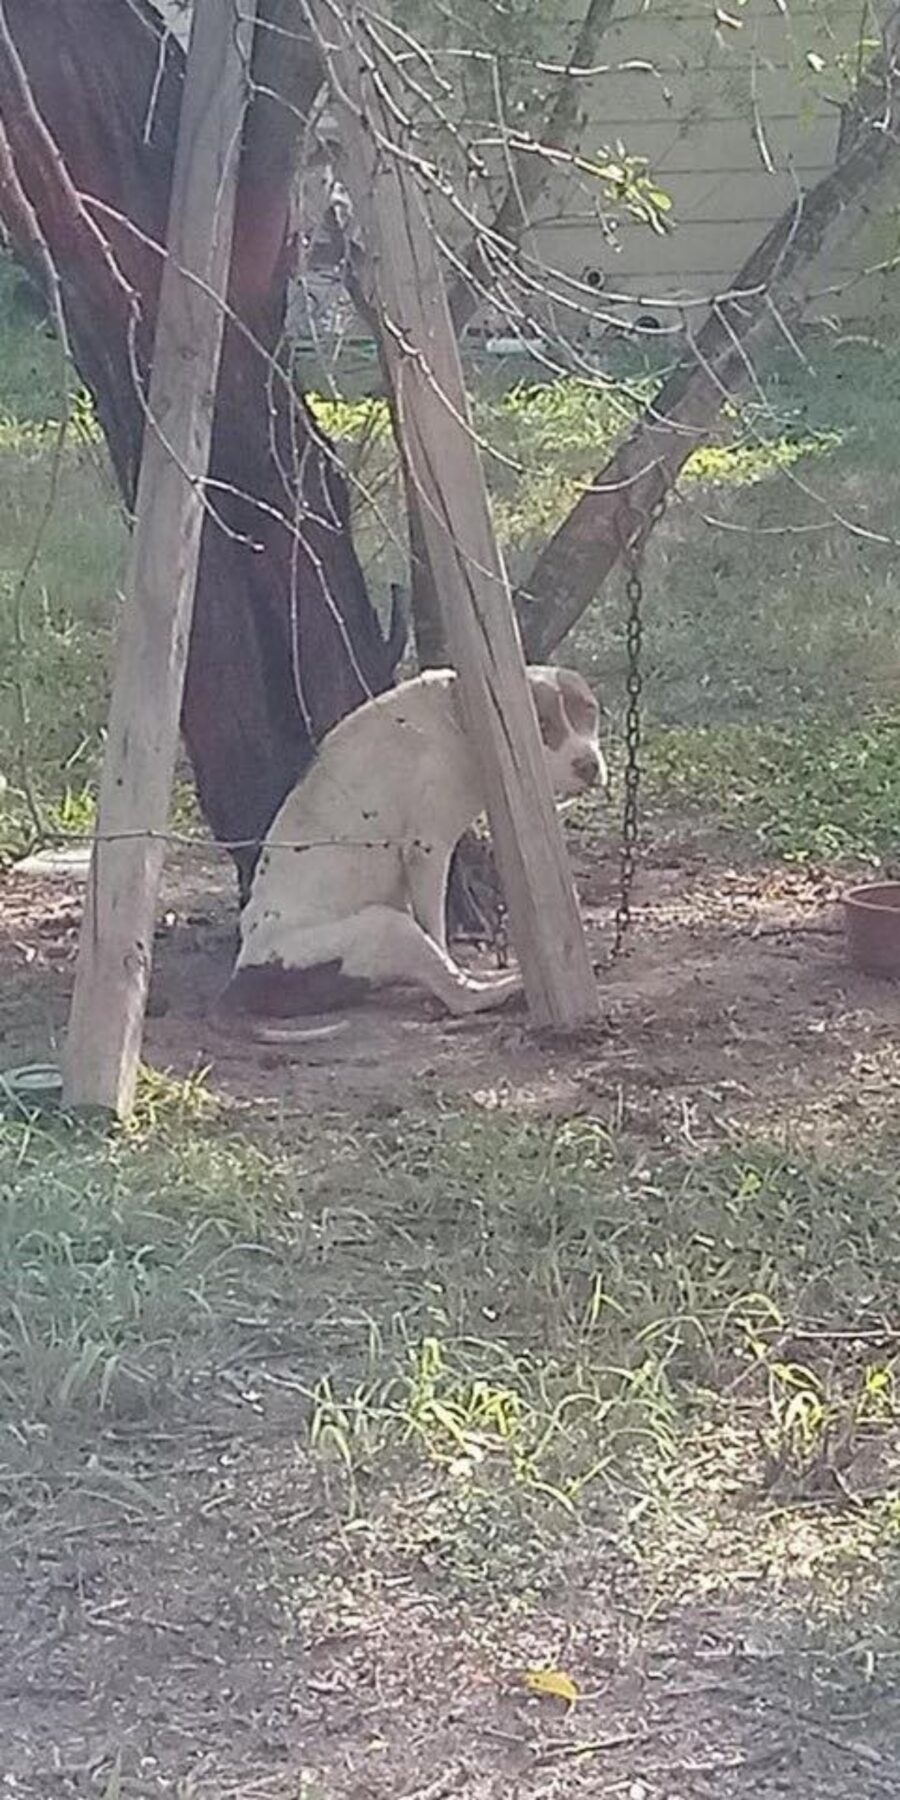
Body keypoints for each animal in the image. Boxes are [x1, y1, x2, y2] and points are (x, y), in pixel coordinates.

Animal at [219, 662, 604, 1036]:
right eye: (542, 724)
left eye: (590, 710)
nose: (589, 765)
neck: (456, 719)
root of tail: (241, 980)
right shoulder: (428, 851)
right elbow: (437, 931)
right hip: (385, 927)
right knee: (460, 996)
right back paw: (507, 985)